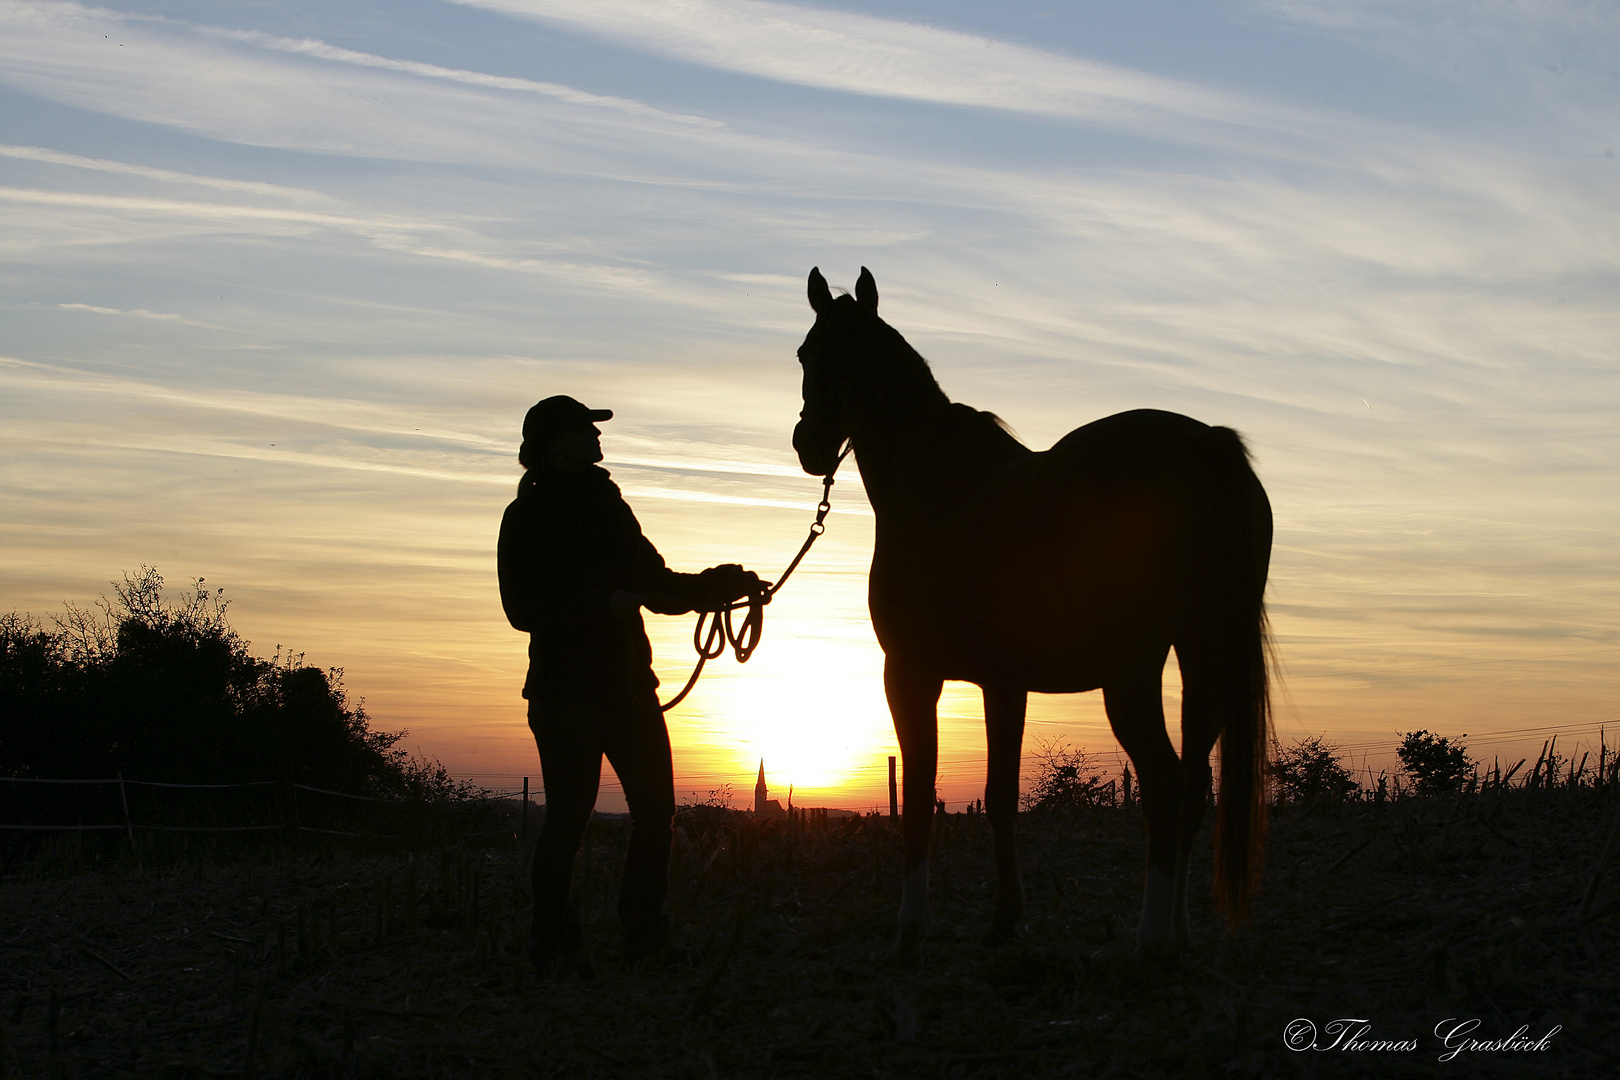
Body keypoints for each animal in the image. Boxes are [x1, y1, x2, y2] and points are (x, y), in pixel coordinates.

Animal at [790, 270, 1270, 965]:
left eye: (848, 359)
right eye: (808, 354)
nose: (809, 444)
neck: (939, 488)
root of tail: (1207, 447)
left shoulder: (909, 674)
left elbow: (918, 796)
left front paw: (911, 927)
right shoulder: (1003, 683)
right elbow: (999, 799)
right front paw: (1004, 919)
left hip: (1133, 673)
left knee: (1165, 782)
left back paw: (1151, 939)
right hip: (1204, 654)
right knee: (1194, 787)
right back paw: (1177, 932)